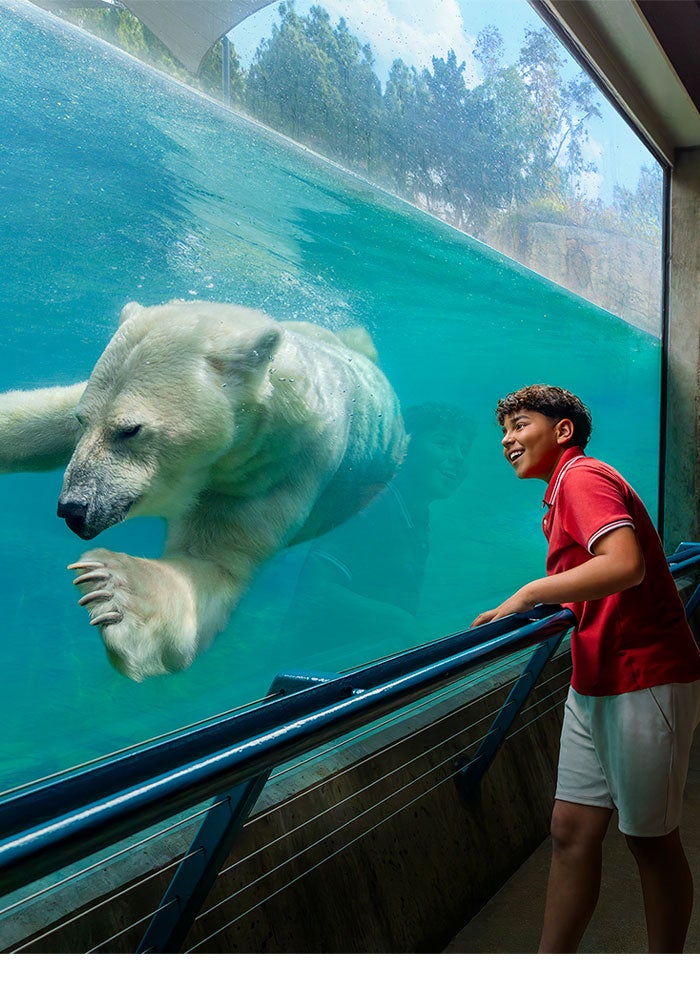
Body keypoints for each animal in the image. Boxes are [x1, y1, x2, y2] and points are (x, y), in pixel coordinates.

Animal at [0, 300, 406, 682]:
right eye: (83, 420)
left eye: (130, 429)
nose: (73, 508)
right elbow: (42, 416)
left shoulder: (269, 473)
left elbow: (211, 563)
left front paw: (111, 588)